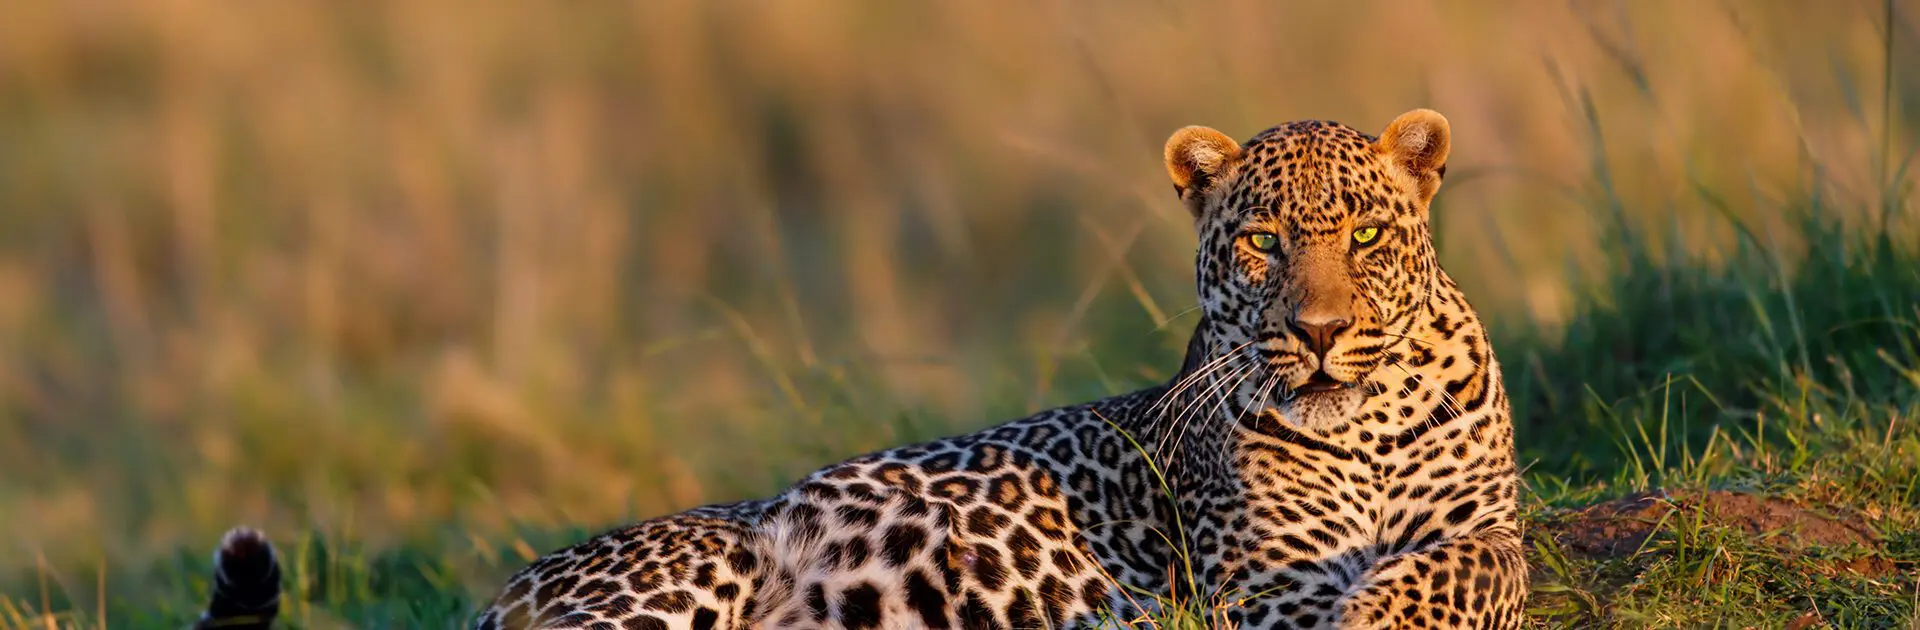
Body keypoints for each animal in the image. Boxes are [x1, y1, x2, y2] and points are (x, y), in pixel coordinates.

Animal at [189, 108, 1527, 630]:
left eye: (1367, 236)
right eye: (1261, 243)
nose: (1318, 331)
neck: (1365, 426)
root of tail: (504, 590)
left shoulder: (1493, 525)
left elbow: (1461, 567)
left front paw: (1396, 599)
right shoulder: (1257, 585)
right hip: (697, 570)